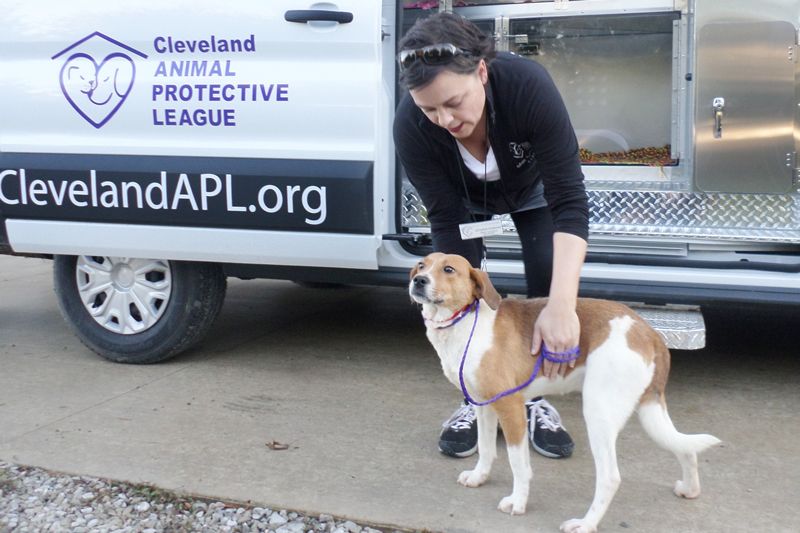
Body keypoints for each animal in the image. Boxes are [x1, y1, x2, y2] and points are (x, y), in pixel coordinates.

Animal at [410, 252, 720, 532]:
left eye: (449, 269)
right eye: (422, 265)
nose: (418, 280)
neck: (464, 324)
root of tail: (649, 333)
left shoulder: (510, 408)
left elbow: (518, 464)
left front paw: (518, 502)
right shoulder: (484, 404)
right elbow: (486, 449)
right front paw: (479, 477)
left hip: (598, 413)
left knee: (610, 477)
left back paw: (586, 524)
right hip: (650, 410)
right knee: (685, 448)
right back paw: (690, 489)